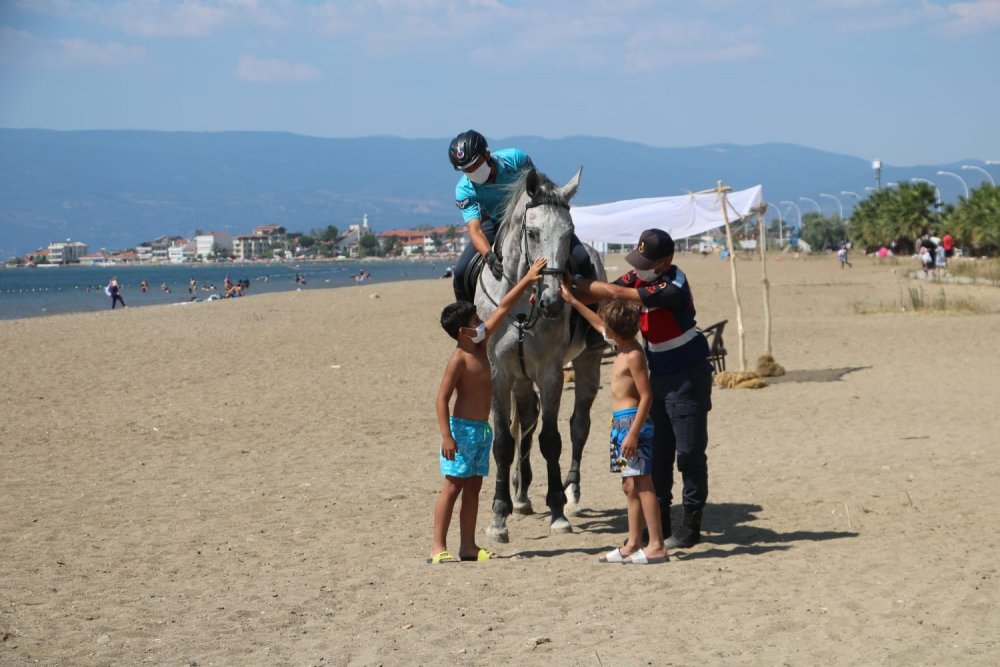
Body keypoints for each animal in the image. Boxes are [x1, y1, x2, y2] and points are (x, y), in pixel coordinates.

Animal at [476, 167, 608, 544]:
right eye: (532, 233)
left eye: (569, 231)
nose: (552, 302)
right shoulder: (499, 373)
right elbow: (504, 441)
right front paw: (499, 516)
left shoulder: (551, 372)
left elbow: (551, 439)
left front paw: (558, 511)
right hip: (521, 380)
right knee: (525, 423)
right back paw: (520, 495)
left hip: (587, 364)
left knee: (579, 426)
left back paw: (572, 492)